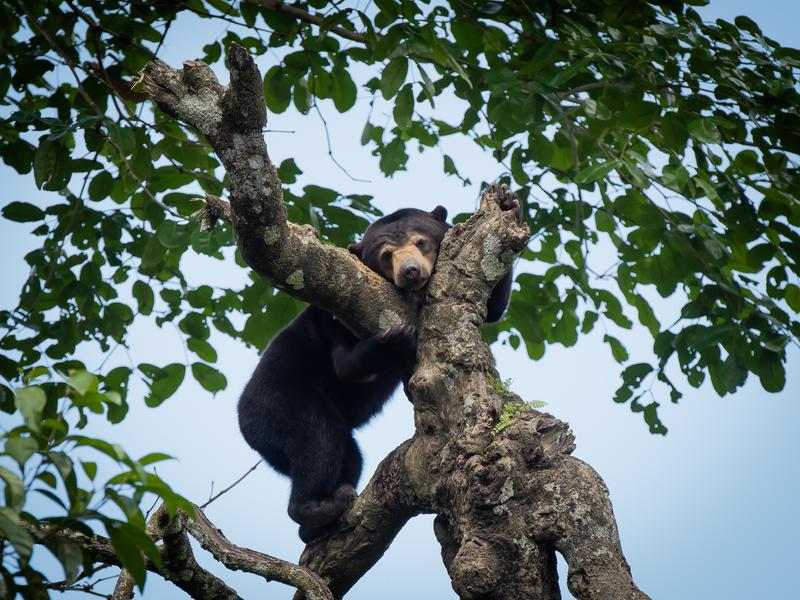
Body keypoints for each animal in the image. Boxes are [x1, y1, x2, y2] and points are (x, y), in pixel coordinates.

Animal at [237, 185, 521, 543]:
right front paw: (398, 337)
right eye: (386, 255)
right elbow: (346, 365)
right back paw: (318, 507)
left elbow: (493, 306)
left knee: (349, 454)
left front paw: (507, 202)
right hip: (278, 401)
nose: (410, 271)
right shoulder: (335, 314)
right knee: (318, 437)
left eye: (420, 242)